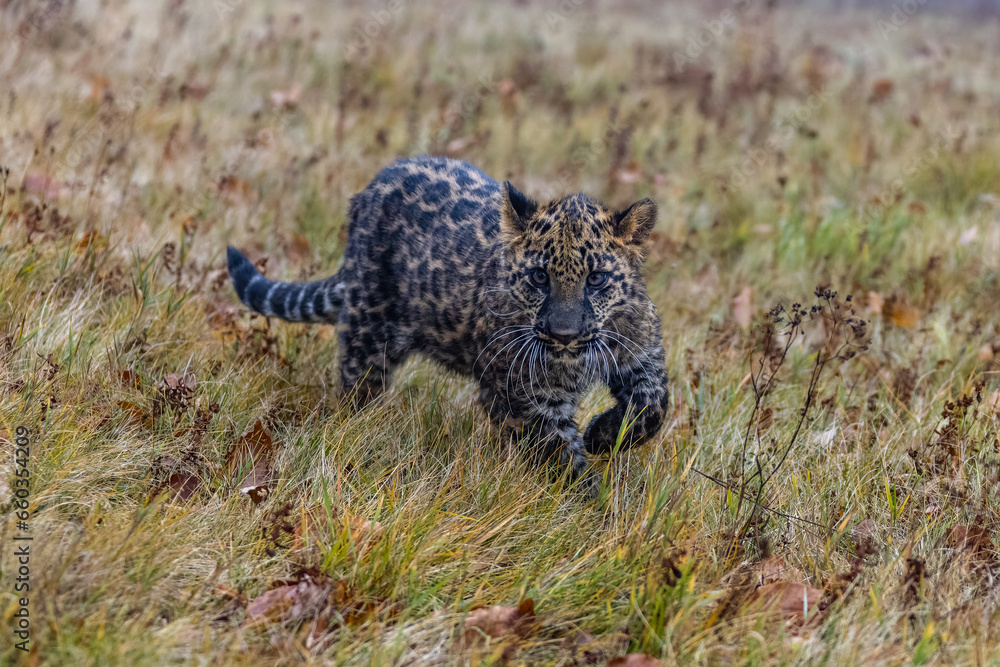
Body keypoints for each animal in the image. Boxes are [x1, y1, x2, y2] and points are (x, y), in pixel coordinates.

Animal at [227, 155, 670, 483]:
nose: (564, 334)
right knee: (357, 391)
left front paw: (603, 435)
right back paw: (359, 432)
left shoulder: (642, 354)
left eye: (596, 279)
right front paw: (588, 510)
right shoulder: (526, 396)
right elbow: (561, 456)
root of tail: (369, 190)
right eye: (539, 277)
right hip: (368, 334)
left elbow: (655, 405)